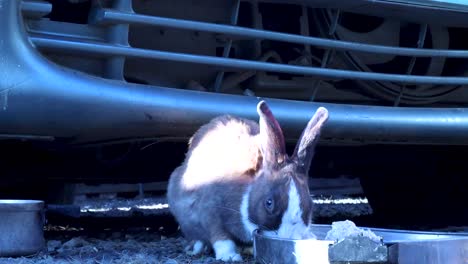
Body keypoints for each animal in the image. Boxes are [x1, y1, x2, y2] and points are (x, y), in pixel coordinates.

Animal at [168, 100, 330, 260]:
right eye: (269, 203)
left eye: (310, 204)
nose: (289, 237)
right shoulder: (209, 211)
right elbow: (220, 237)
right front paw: (230, 256)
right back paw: (197, 248)